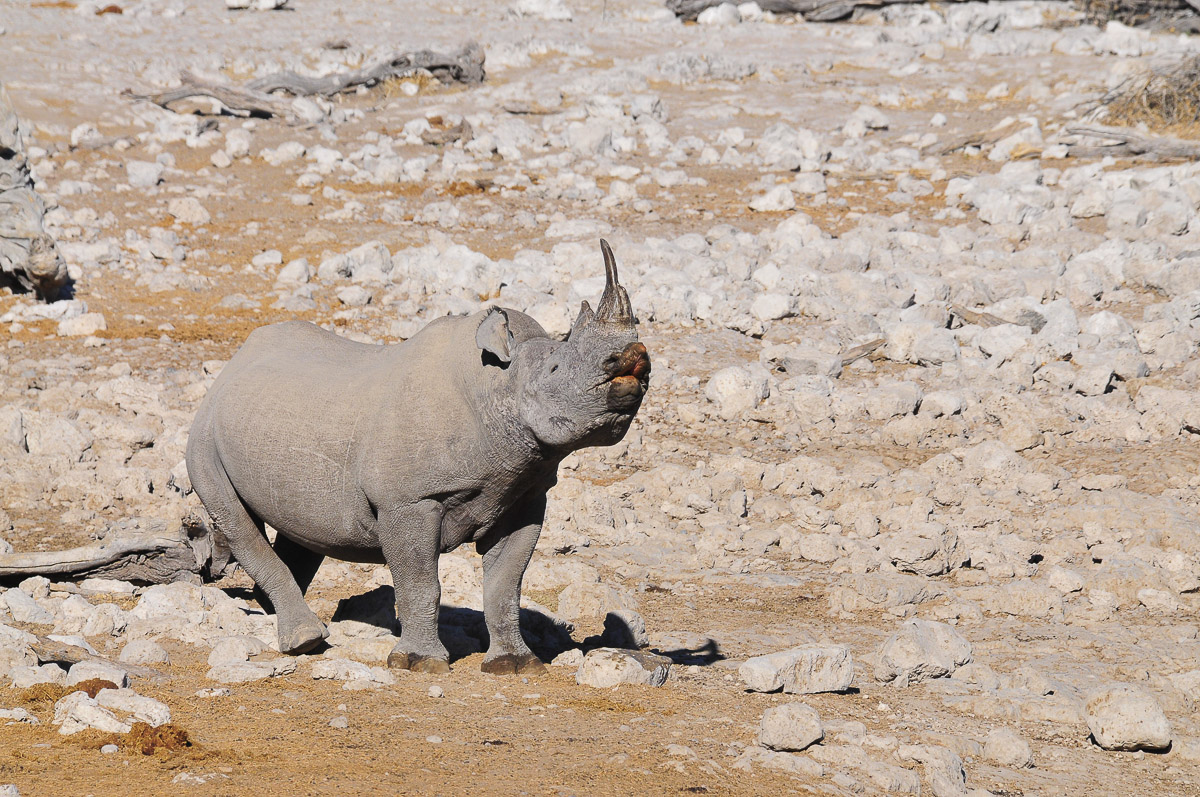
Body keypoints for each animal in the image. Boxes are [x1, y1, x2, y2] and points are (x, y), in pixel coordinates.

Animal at [186, 240, 650, 674]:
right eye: (554, 370)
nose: (635, 358)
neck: (498, 387)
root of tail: (232, 363)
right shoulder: (407, 501)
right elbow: (421, 582)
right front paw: (418, 662)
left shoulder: (523, 496)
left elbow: (506, 585)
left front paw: (515, 664)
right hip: (204, 434)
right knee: (234, 517)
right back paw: (306, 640)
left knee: (301, 529)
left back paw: (273, 613)